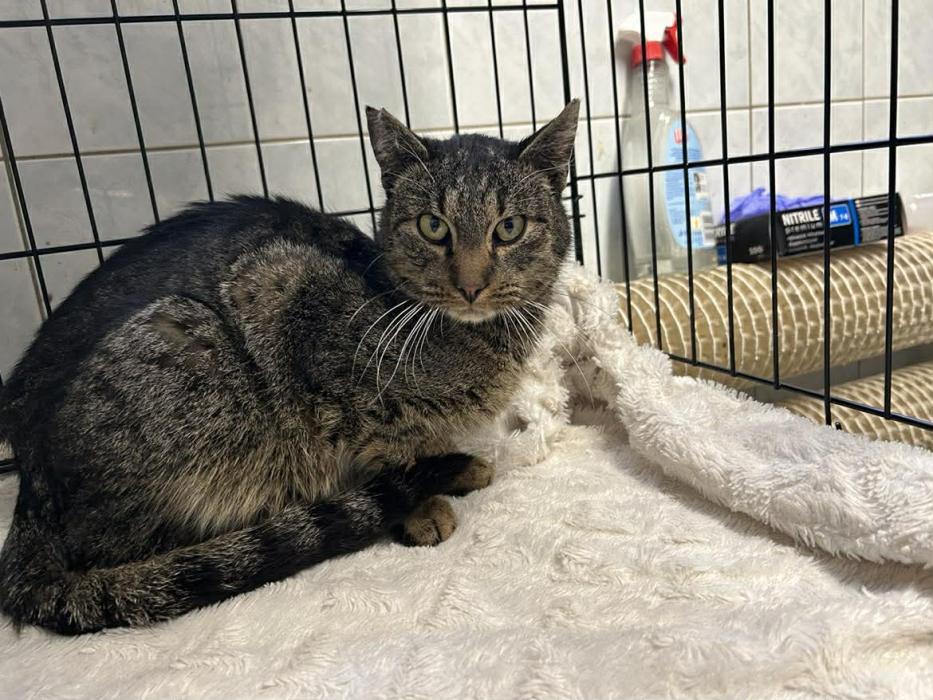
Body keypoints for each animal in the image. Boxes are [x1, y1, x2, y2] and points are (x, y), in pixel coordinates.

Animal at [0, 100, 579, 634]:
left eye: (509, 228)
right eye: (433, 226)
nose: (471, 285)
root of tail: (29, 486)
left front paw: (451, 464)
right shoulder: (285, 294)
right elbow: (387, 449)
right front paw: (420, 503)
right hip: (194, 352)